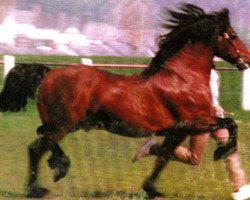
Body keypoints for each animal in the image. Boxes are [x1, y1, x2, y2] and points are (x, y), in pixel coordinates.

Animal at [26, 4, 250, 198]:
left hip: (66, 124)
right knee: (38, 148)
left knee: (37, 143)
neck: (183, 79)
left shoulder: (178, 131)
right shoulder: (195, 122)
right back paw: (42, 184)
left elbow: (164, 156)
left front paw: (151, 189)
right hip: (64, 125)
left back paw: (48, 176)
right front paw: (222, 151)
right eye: (232, 35)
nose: (247, 59)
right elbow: (230, 124)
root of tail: (48, 74)